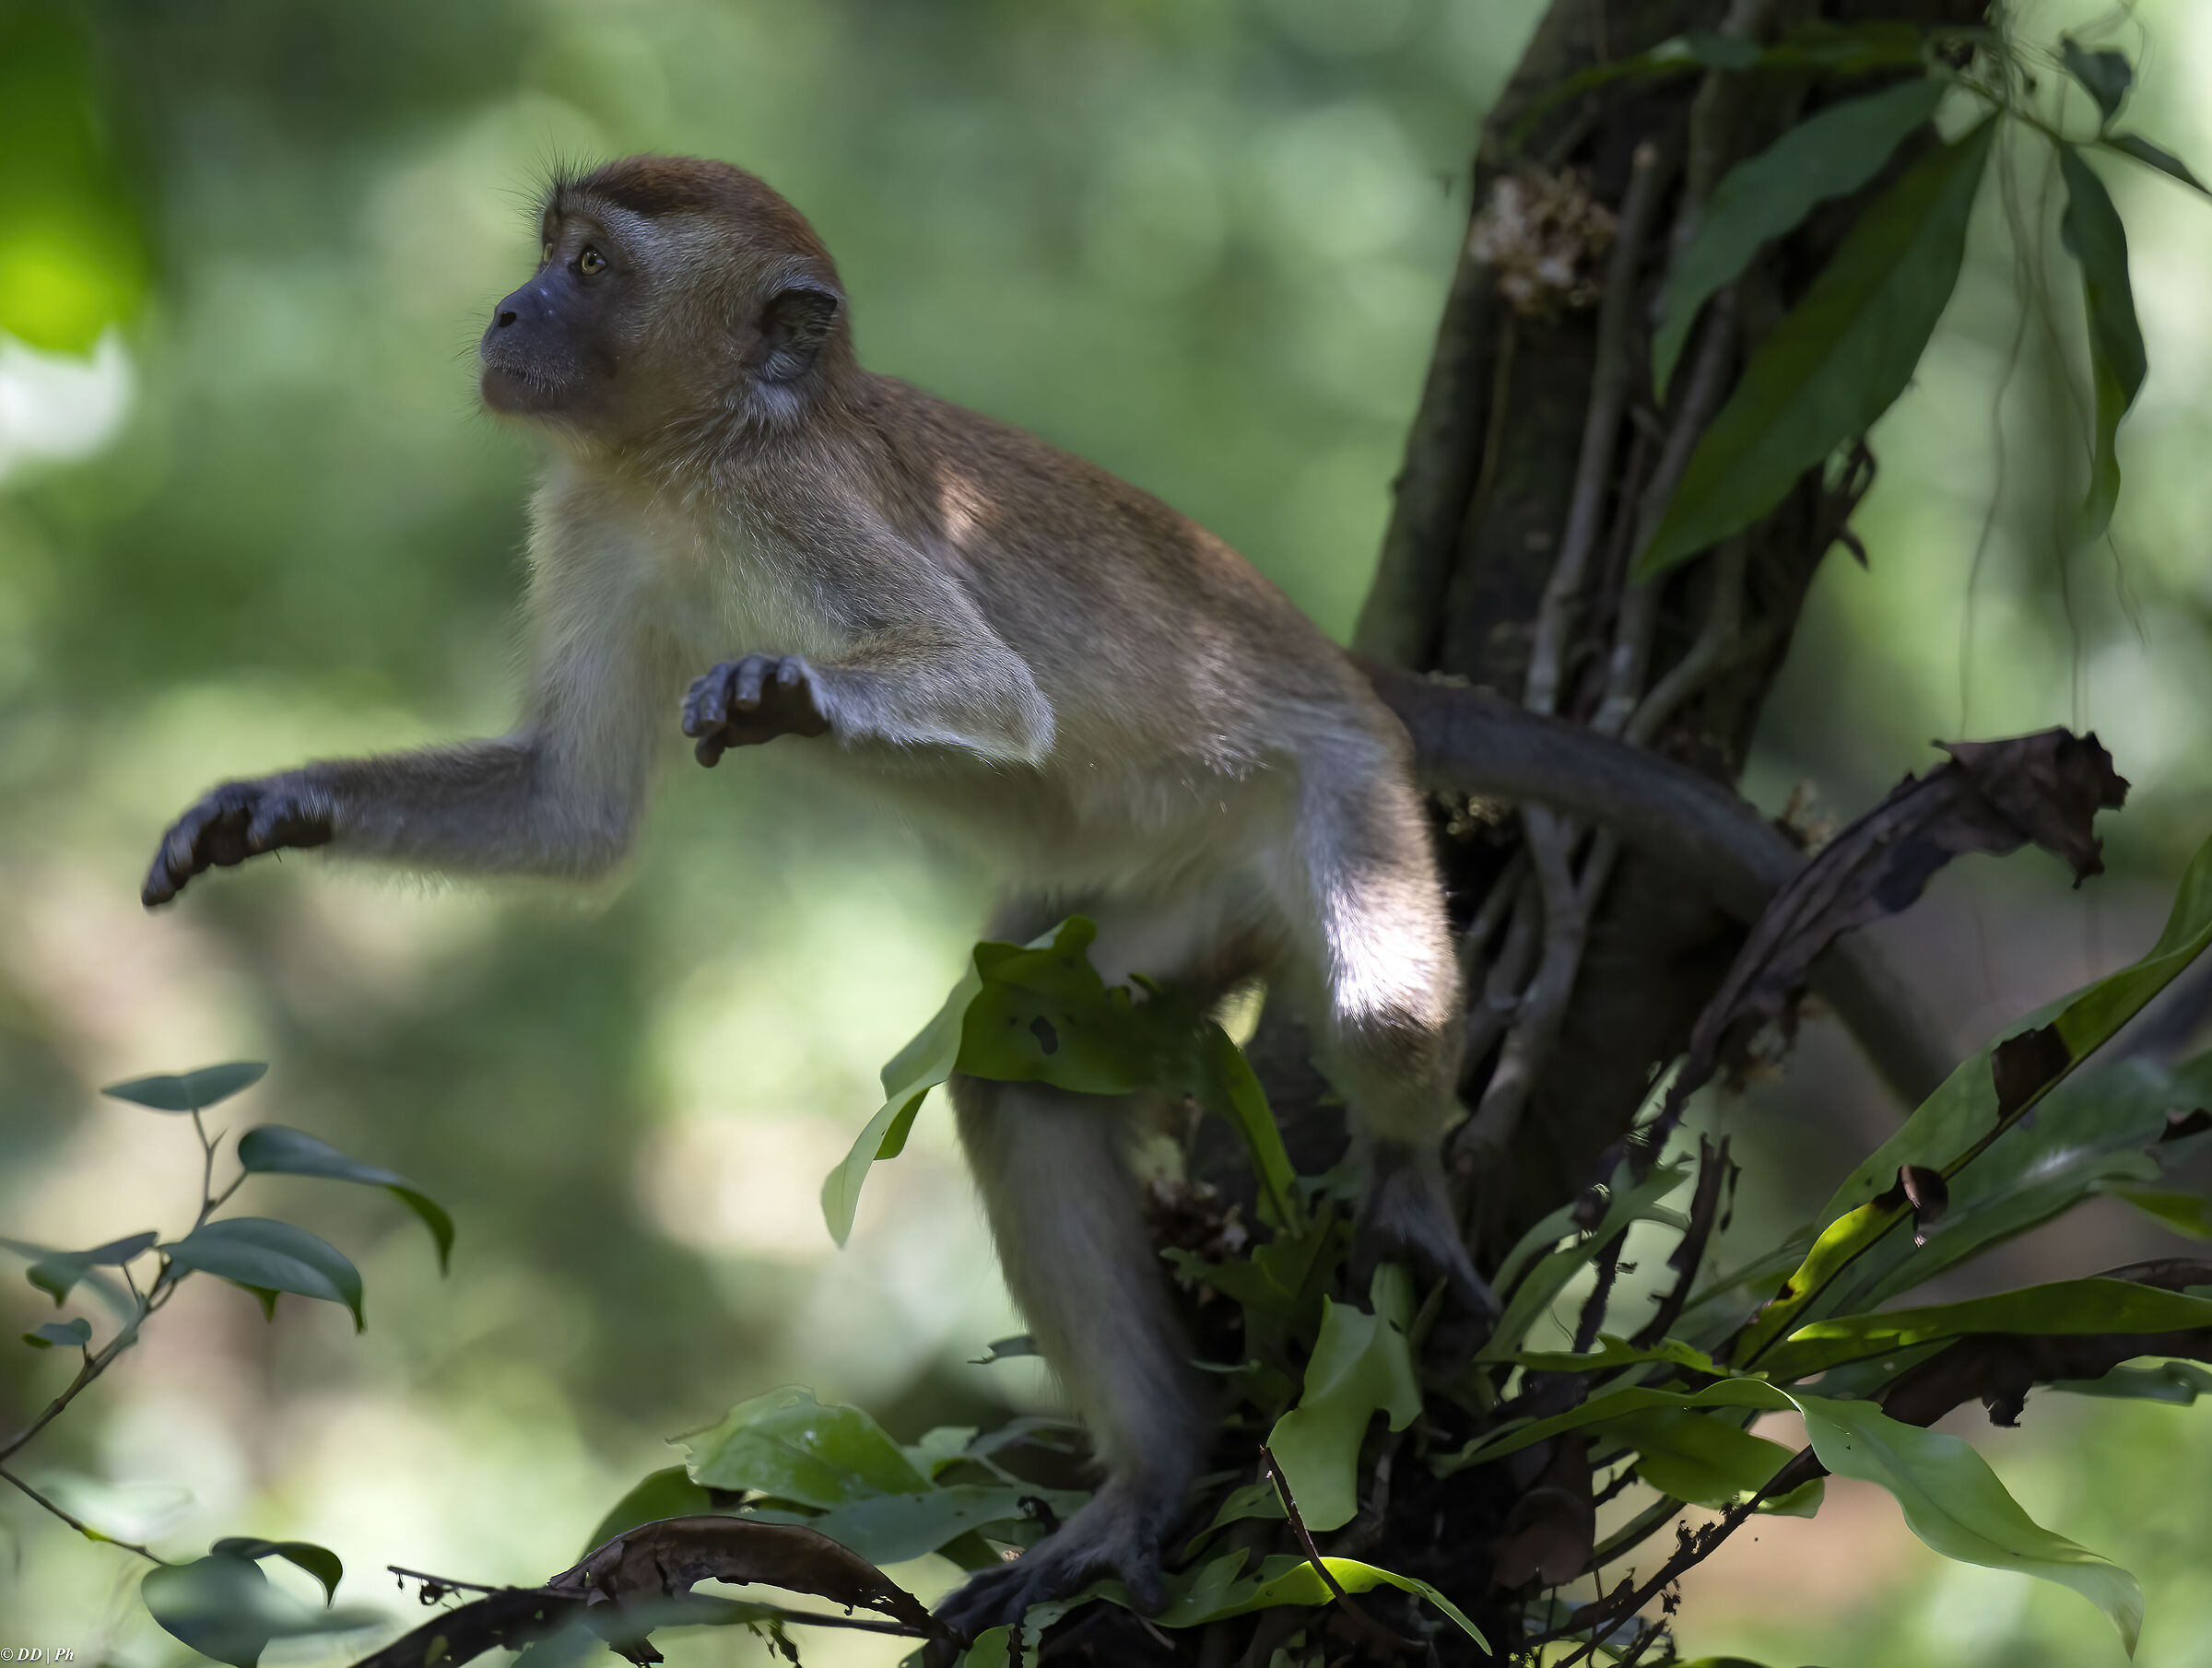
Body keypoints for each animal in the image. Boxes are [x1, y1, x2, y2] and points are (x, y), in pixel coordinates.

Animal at [139, 156, 1942, 1635]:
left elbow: (994, 695)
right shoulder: (591, 513)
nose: (510, 310)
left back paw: (1408, 1174)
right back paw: (1153, 1477)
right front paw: (270, 808)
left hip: (1334, 789)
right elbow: (572, 819)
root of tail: (1351, 674)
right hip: (1169, 892)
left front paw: (793, 692)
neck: (690, 451)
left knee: (1373, 1004)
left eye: (587, 264)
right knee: (1021, 1072)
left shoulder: (793, 508)